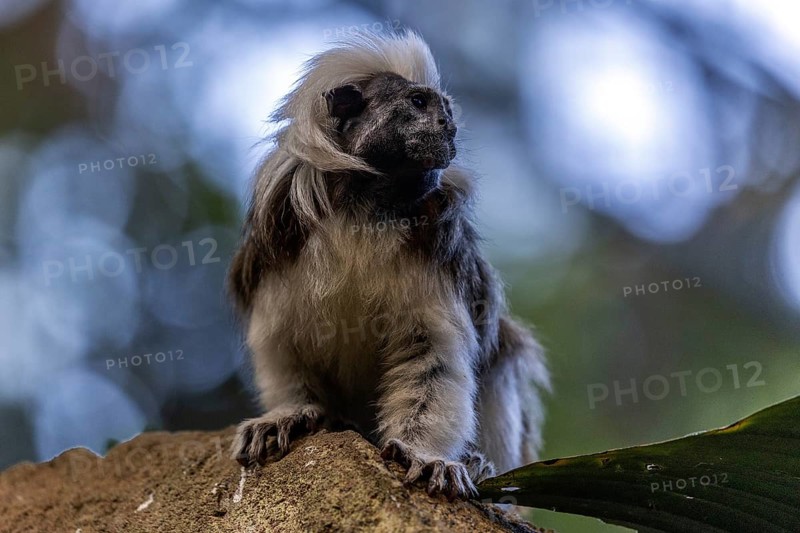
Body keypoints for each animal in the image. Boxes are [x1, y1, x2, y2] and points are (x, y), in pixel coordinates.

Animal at [228, 31, 550, 499]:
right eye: (418, 102)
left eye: (445, 108)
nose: (448, 125)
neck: (367, 205)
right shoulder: (278, 244)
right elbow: (282, 346)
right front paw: (290, 415)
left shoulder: (439, 254)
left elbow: (433, 360)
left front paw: (426, 456)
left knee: (503, 353)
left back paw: (481, 467)